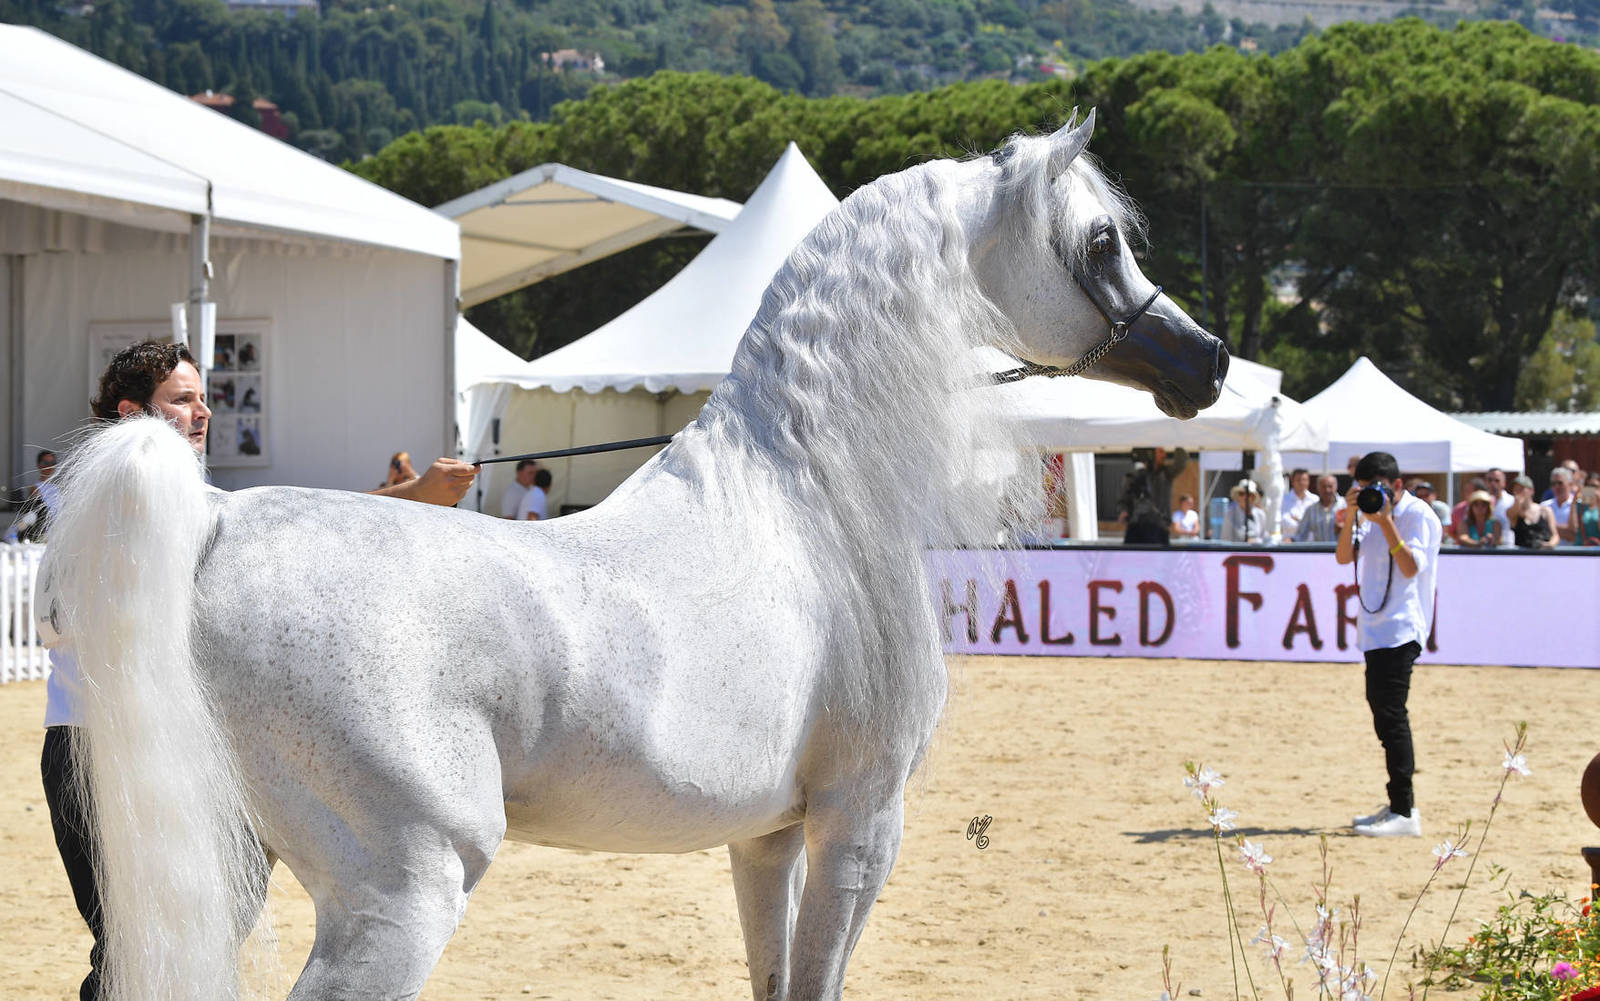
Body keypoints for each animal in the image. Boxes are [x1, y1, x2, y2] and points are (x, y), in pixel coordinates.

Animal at [40, 110, 1226, 1001]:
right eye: (1102, 242)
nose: (1207, 362)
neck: (810, 500)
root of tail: (217, 520)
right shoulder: (860, 822)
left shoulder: (769, 838)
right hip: (402, 890)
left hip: (230, 873)